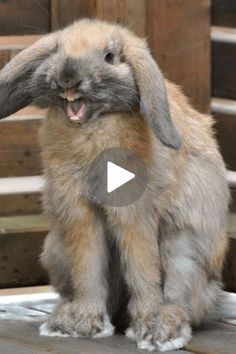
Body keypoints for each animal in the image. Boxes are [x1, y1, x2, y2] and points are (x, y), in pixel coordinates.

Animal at [0, 19, 230, 352]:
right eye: (57, 50)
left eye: (109, 56)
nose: (67, 78)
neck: (92, 126)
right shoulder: (78, 213)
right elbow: (88, 265)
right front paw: (85, 322)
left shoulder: (133, 211)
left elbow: (141, 265)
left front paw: (146, 320)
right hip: (56, 249)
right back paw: (64, 318)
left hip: (186, 249)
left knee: (182, 298)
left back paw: (161, 328)